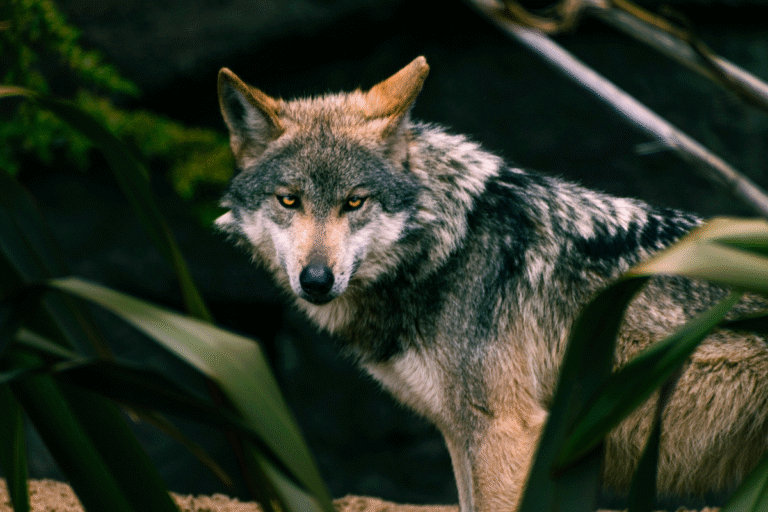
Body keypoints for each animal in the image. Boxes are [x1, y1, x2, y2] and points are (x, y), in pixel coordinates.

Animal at [214, 56, 768, 511]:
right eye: (289, 200)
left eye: (355, 201)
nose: (316, 280)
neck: (449, 245)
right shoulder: (460, 433)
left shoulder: (505, 431)